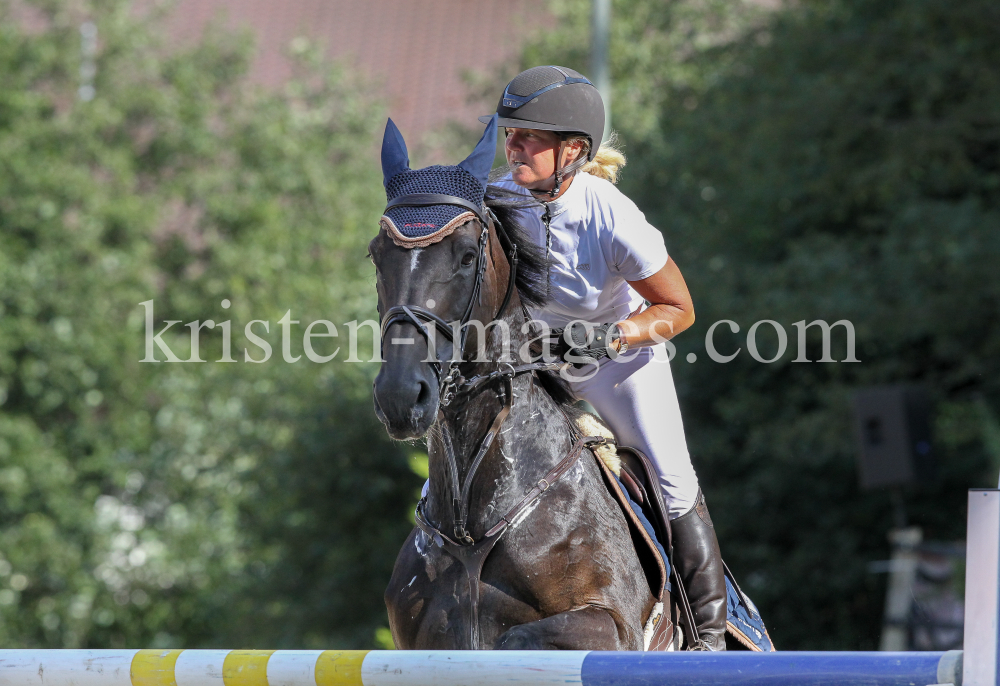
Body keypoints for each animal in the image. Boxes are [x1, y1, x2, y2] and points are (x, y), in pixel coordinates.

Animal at [368, 117, 664, 652]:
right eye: (376, 256)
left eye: (467, 257)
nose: (400, 397)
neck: (471, 529)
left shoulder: (611, 626)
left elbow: (514, 641)